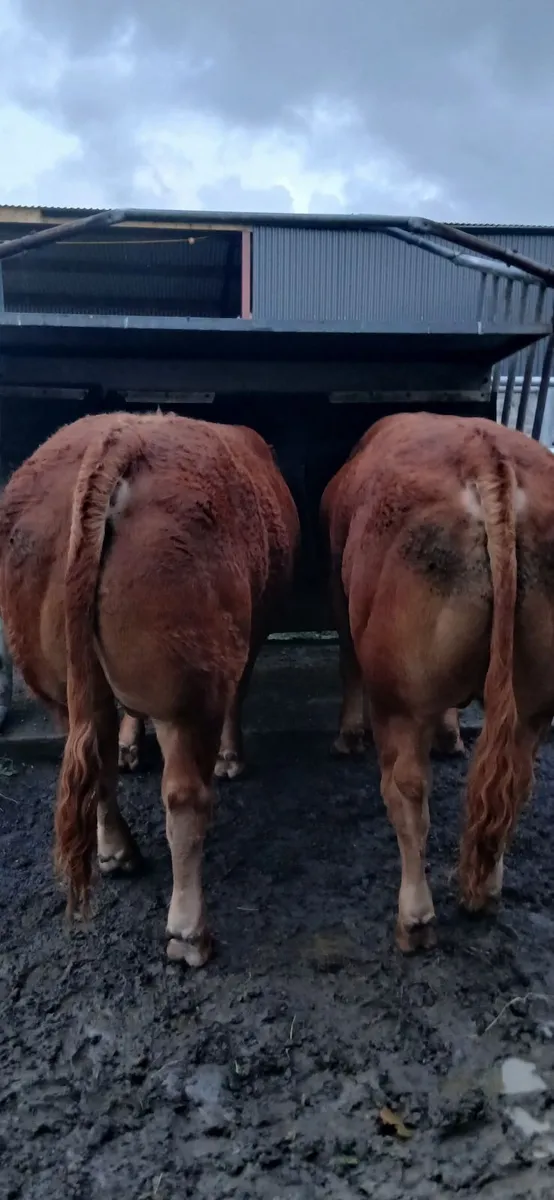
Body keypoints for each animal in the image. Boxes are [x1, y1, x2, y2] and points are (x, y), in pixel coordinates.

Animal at [0, 411, 300, 966]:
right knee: (184, 799)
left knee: (92, 757)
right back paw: (189, 932)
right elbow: (239, 697)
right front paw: (230, 758)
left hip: (57, 679)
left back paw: (118, 852)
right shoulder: (247, 640)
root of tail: (119, 440)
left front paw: (131, 744)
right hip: (188, 690)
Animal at [321, 411, 554, 953]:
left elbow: (347, 663)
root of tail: (486, 456)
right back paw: (486, 892)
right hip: (533, 702)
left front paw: (347, 736)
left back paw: (415, 917)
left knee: (407, 792)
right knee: (515, 782)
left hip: (400, 699)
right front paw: (451, 736)